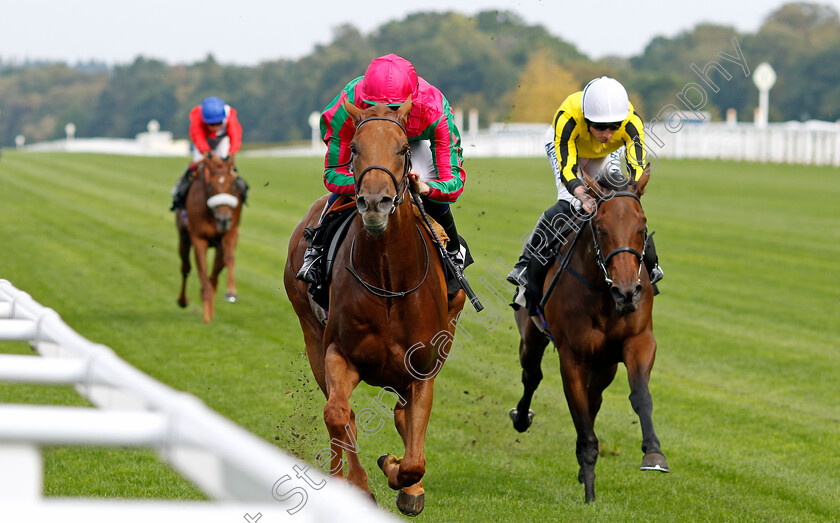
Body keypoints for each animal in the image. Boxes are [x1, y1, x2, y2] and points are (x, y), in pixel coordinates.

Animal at [176, 155, 243, 324]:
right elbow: (202, 270)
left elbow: (229, 259)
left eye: (232, 185)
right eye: (210, 186)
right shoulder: (198, 238)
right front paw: (206, 317)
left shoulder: (230, 233)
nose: (224, 220)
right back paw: (183, 300)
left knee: (215, 276)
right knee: (185, 267)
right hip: (183, 237)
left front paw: (231, 292)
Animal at [282, 98, 466, 516]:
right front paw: (359, 485)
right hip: (311, 333)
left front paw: (402, 478)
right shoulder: (338, 352)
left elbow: (414, 457)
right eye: (353, 149)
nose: (373, 203)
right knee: (342, 411)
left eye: (403, 149)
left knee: (402, 415)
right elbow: (338, 414)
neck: (388, 283)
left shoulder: (422, 367)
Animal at [506, 172, 668, 504]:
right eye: (601, 228)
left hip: (605, 363)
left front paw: (653, 453)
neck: (604, 295)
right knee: (532, 375)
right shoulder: (573, 358)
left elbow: (640, 395)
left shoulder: (639, 341)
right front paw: (590, 490)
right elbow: (581, 419)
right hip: (532, 335)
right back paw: (522, 417)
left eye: (642, 227)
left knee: (595, 397)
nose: (627, 292)